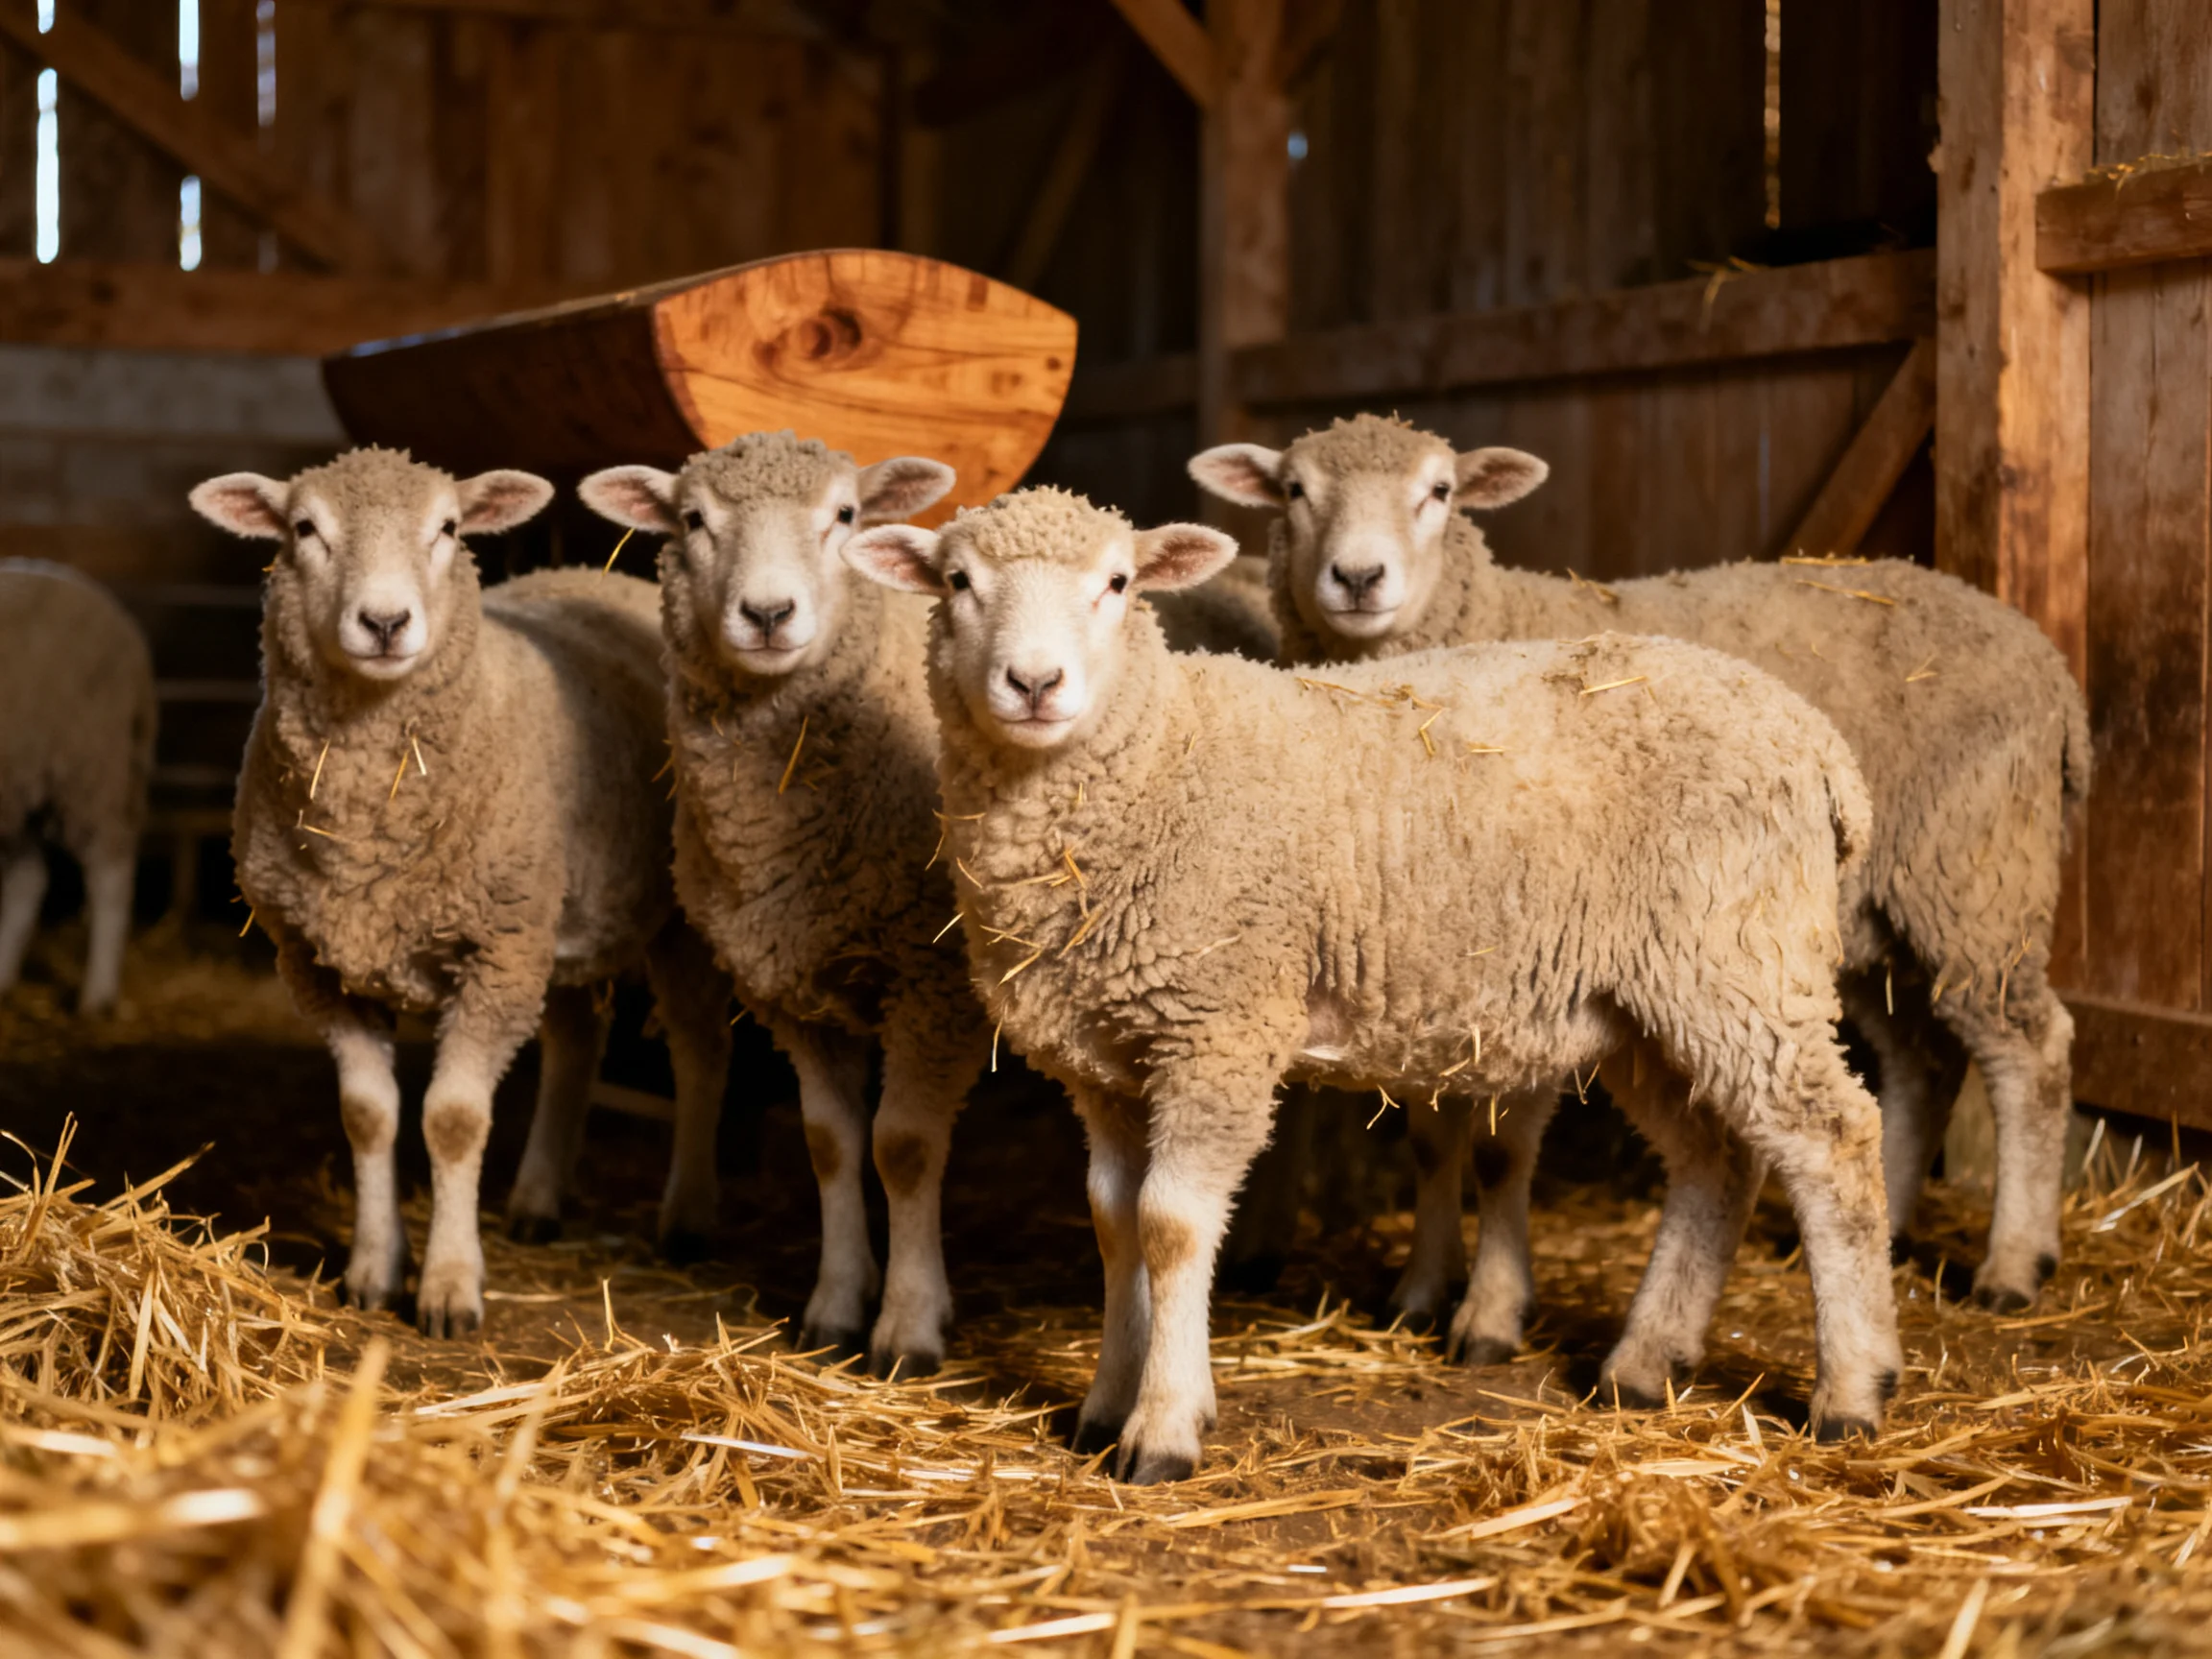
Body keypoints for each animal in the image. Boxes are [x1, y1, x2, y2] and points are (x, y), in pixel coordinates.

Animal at [190, 448, 732, 1338]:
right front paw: (375, 1270)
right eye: (304, 529)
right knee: (577, 1041)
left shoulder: (492, 954)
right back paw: (538, 1201)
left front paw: (449, 1287)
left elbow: (451, 1120)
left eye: (446, 528)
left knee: (698, 1048)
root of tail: (597, 572)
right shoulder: (320, 964)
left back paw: (687, 1217)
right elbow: (368, 1114)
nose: (384, 622)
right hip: (549, 918)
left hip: (658, 921)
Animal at [844, 486, 1902, 1482]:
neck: (1157, 756)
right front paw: (1108, 1402)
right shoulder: (1104, 1059)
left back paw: (1851, 1389)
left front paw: (1165, 1427)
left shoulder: (1218, 1029)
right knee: (1716, 1161)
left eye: (1117, 584)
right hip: (1646, 1002)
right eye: (957, 583)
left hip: (1737, 958)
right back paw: (1643, 1364)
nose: (1034, 682)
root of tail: (1815, 739)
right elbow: (1113, 1224)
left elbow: (1171, 1227)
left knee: (1834, 1140)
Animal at [1190, 414, 2091, 1331]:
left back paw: (2013, 1264)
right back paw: (1893, 1231)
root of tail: (2044, 656)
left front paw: (1491, 1312)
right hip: (1862, 916)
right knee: (1918, 1063)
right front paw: (1422, 1288)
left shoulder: (1524, 959)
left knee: (2029, 1050)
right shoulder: (1421, 959)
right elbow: (1432, 1137)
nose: (1359, 577)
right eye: (1295, 490)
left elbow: (1498, 1150)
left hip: (1977, 878)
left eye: (1439, 491)